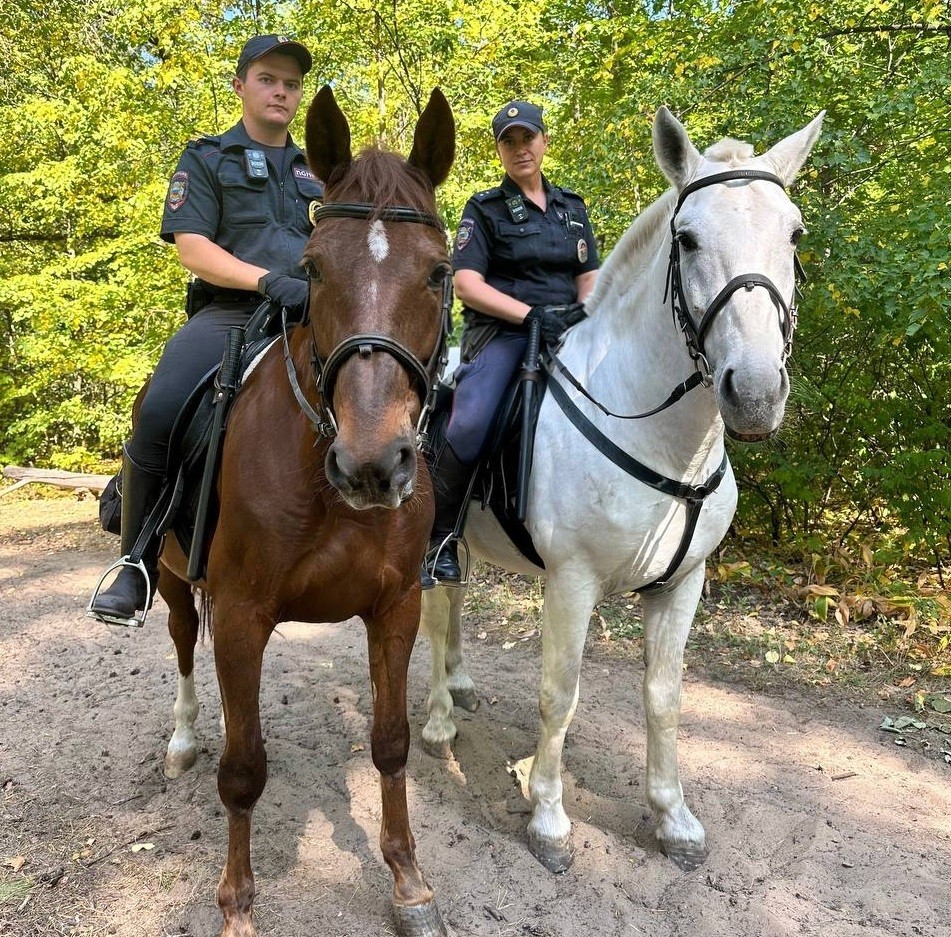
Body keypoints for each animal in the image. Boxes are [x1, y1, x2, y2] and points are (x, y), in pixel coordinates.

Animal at [154, 84, 456, 932]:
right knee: (182, 645)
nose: (371, 464)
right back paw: (183, 736)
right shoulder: (241, 611)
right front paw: (236, 902)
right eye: (312, 270)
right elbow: (241, 770)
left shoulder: (395, 606)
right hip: (171, 579)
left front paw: (409, 881)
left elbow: (389, 742)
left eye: (438, 272)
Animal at [420, 106, 820, 872]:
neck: (663, 438)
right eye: (687, 239)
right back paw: (436, 720)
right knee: (427, 610)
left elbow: (664, 697)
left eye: (793, 234)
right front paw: (548, 818)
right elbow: (560, 693)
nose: (755, 392)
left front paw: (673, 817)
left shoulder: (683, 584)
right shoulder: (571, 581)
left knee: (450, 601)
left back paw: (456, 688)